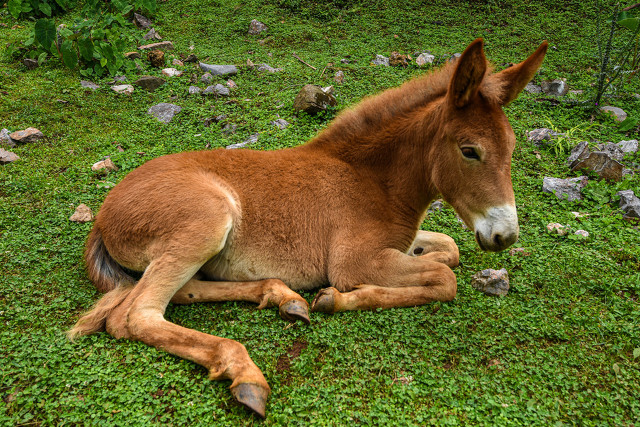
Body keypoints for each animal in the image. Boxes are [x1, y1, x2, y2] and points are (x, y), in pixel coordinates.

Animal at [69, 39, 544, 418]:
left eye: (511, 147)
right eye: (470, 150)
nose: (505, 236)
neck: (372, 179)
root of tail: (104, 215)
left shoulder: (400, 242)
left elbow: (448, 249)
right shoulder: (354, 261)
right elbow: (444, 278)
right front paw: (338, 298)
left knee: (180, 292)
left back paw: (283, 298)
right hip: (207, 223)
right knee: (137, 315)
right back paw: (246, 373)